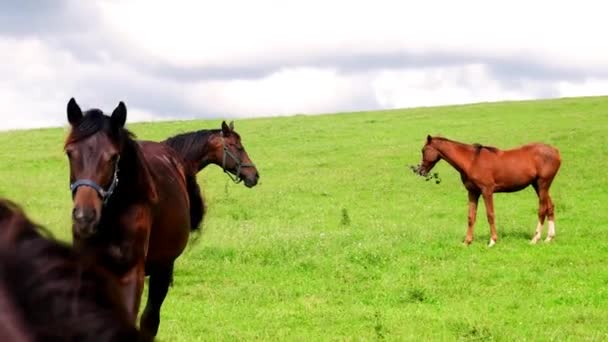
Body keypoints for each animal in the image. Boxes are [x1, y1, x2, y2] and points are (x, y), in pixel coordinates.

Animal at [64, 98, 201, 336]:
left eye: (113, 156)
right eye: (70, 153)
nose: (84, 217)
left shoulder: (131, 273)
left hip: (162, 269)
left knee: (150, 320)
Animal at [414, 135, 560, 247]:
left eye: (424, 150)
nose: (420, 170)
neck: (472, 161)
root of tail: (556, 151)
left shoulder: (487, 191)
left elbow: (490, 215)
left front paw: (492, 241)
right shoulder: (472, 192)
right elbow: (471, 217)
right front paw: (467, 242)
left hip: (542, 184)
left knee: (542, 210)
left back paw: (535, 239)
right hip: (538, 186)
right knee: (550, 207)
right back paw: (549, 238)